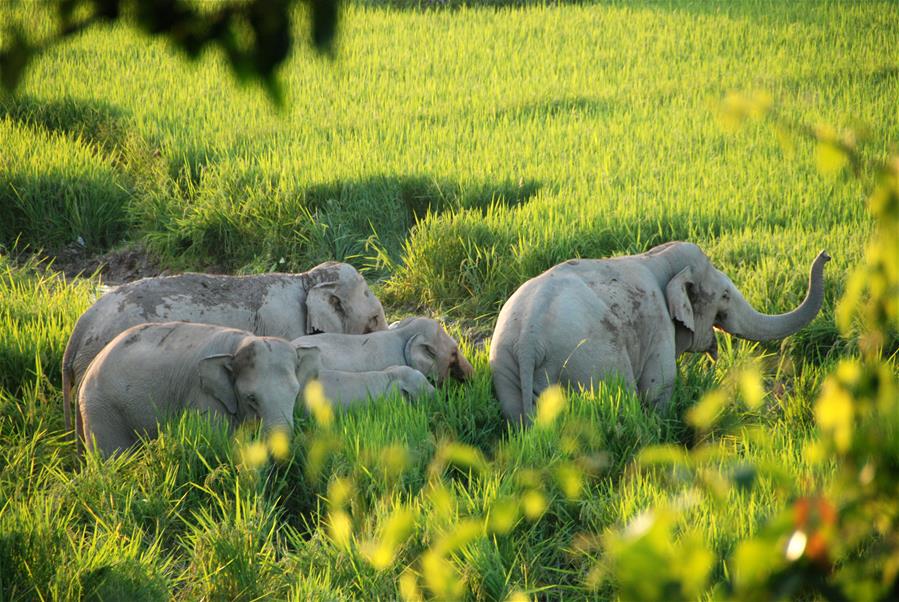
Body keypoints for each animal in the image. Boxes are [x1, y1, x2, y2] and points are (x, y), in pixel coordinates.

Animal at [488, 239, 832, 422]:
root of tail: (529, 340)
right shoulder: (658, 327)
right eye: (724, 295)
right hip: (589, 364)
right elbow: (659, 388)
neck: (656, 256)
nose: (826, 254)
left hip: (505, 367)